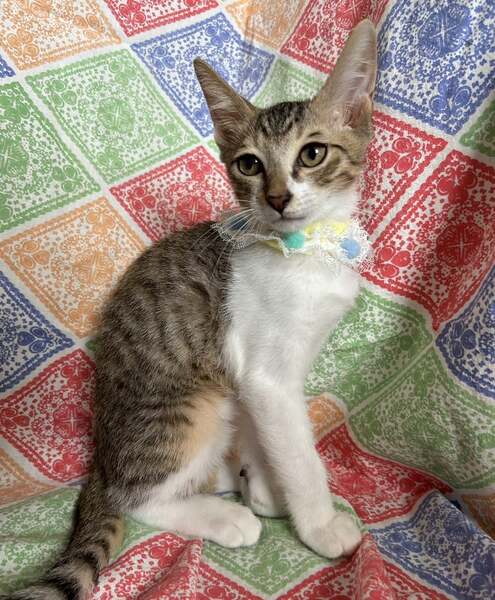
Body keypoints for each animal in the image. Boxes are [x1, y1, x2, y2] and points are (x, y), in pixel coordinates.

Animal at [4, 19, 377, 600]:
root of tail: (101, 457)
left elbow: (269, 435)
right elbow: (298, 454)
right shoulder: (265, 374)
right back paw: (223, 515)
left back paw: (232, 480)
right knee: (138, 498)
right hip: (195, 403)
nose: (276, 198)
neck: (307, 251)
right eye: (249, 164)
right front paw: (318, 523)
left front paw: (265, 484)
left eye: (312, 154)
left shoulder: (252, 380)